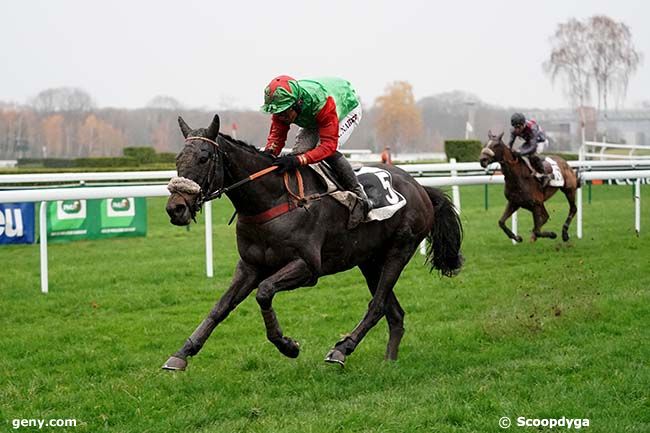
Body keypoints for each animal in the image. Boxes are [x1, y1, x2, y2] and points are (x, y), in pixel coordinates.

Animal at [165, 114, 464, 368]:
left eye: (204, 157)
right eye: (178, 159)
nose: (175, 208)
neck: (272, 200)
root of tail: (419, 187)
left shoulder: (308, 267)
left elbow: (264, 292)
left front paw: (288, 346)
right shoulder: (249, 265)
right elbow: (221, 307)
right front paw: (182, 353)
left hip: (398, 251)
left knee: (377, 305)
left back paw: (342, 349)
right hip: (369, 260)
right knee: (394, 313)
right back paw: (388, 361)